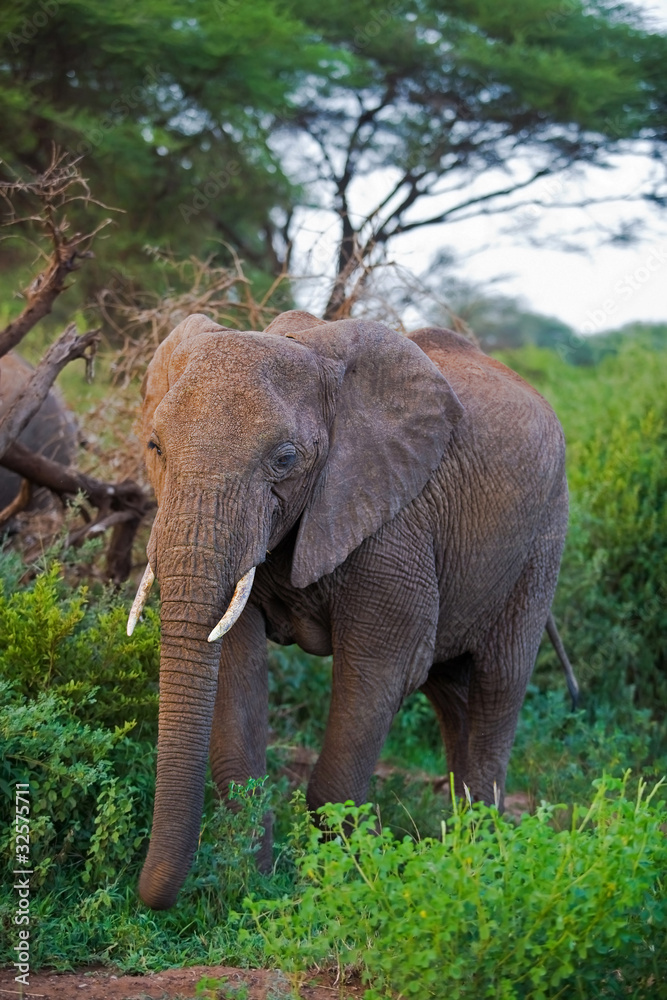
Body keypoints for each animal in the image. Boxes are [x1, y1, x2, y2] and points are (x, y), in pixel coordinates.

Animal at [130, 308, 568, 912]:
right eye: (155, 446)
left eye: (285, 459)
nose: (147, 897)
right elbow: (234, 660)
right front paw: (252, 893)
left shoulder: (394, 525)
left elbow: (385, 667)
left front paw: (339, 890)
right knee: (453, 697)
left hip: (542, 540)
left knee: (498, 684)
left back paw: (481, 864)